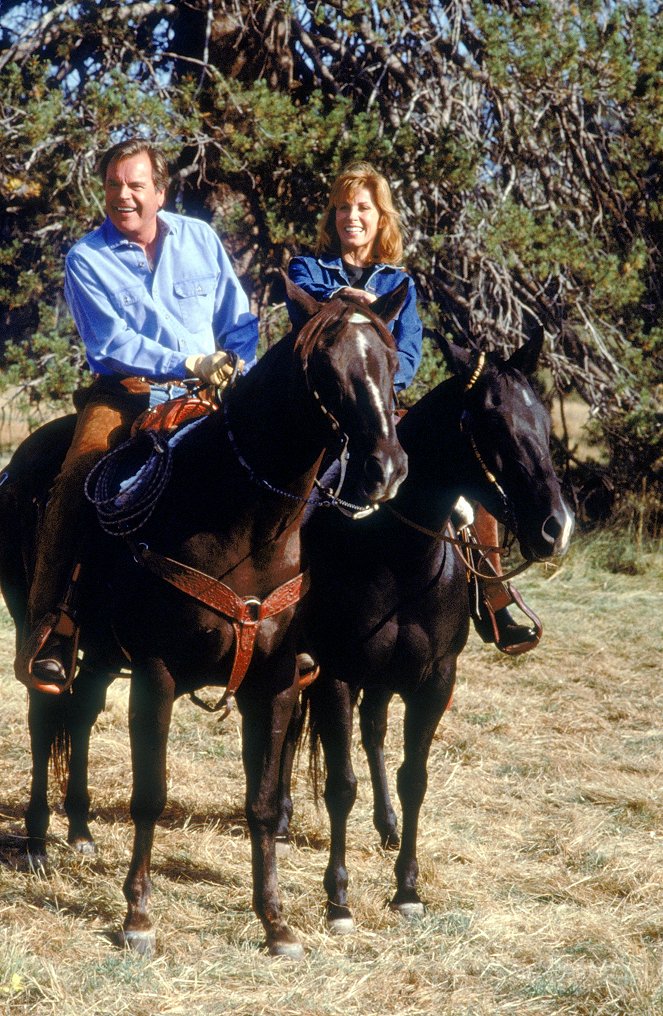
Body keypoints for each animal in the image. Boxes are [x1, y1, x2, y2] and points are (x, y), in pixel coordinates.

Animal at [0, 280, 408, 959]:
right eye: (325, 367)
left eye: (390, 357)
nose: (386, 469)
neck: (246, 523)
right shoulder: (157, 674)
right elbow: (150, 795)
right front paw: (138, 917)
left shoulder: (275, 683)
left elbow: (263, 803)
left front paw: (276, 922)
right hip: (42, 636)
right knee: (42, 715)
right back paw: (36, 840)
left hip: (104, 654)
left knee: (79, 715)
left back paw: (79, 830)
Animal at [292, 329, 572, 930]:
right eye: (491, 422)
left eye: (542, 418)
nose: (555, 527)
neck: (397, 556)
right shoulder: (335, 677)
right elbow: (339, 784)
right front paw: (338, 899)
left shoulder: (435, 680)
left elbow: (413, 779)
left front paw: (407, 890)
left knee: (373, 732)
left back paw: (386, 825)